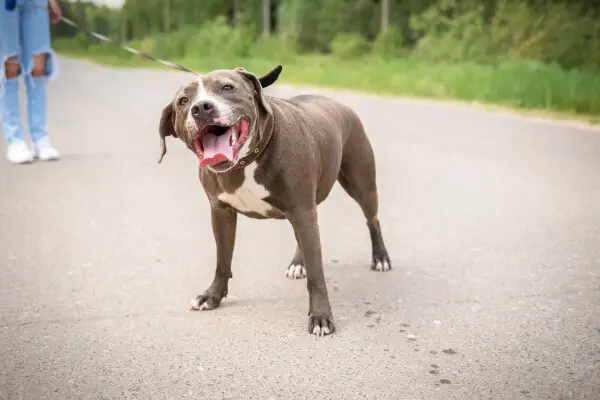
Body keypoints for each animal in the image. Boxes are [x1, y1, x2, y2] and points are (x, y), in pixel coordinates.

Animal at [157, 65, 392, 334]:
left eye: (227, 87)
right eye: (183, 101)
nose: (201, 108)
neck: (245, 162)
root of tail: (339, 104)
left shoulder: (302, 211)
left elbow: (317, 275)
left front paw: (321, 316)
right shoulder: (221, 212)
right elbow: (222, 260)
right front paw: (212, 296)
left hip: (360, 184)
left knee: (372, 219)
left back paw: (380, 258)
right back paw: (299, 263)